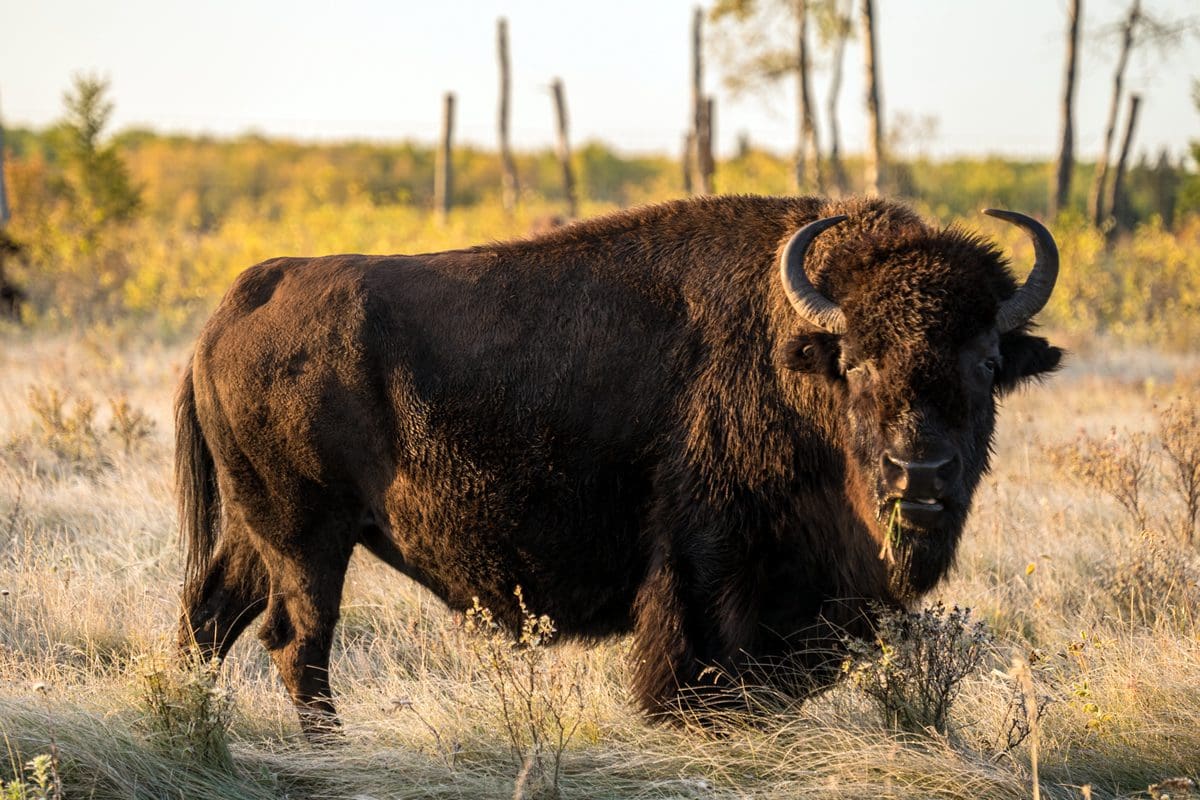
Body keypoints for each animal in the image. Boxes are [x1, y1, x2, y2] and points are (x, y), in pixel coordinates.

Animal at [176, 195, 1062, 737]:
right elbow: (697, 675)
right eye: (856, 363)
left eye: (987, 364)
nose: (921, 476)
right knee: (296, 641)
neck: (791, 357)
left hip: (261, 534)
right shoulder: (709, 571)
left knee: (210, 615)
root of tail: (245, 297)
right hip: (307, 537)